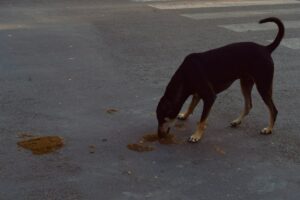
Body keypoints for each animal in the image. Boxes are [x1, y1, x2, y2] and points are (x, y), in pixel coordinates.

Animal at [156, 16, 284, 142]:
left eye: (163, 119)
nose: (159, 136)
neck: (185, 74)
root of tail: (265, 48)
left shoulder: (209, 97)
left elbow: (202, 120)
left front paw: (197, 135)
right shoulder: (198, 93)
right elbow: (191, 106)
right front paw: (185, 115)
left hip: (263, 85)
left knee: (274, 110)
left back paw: (269, 129)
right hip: (245, 83)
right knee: (248, 105)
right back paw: (237, 121)